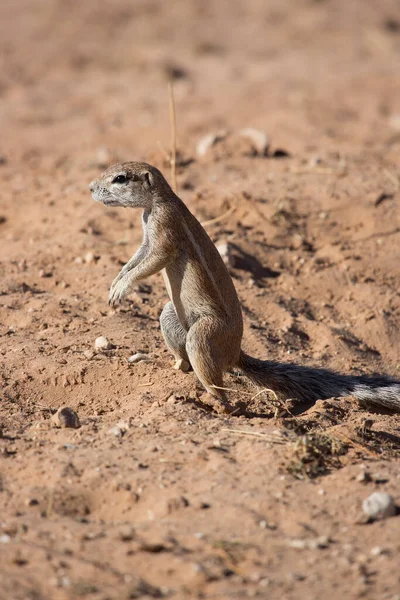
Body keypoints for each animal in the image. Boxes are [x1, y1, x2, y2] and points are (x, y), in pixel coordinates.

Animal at [89, 161, 400, 412]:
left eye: (119, 178)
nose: (91, 187)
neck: (155, 204)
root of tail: (235, 352)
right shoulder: (146, 239)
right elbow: (136, 259)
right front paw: (116, 282)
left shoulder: (165, 231)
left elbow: (153, 261)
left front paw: (122, 288)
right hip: (171, 316)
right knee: (186, 358)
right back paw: (170, 366)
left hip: (203, 334)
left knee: (216, 381)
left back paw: (219, 404)